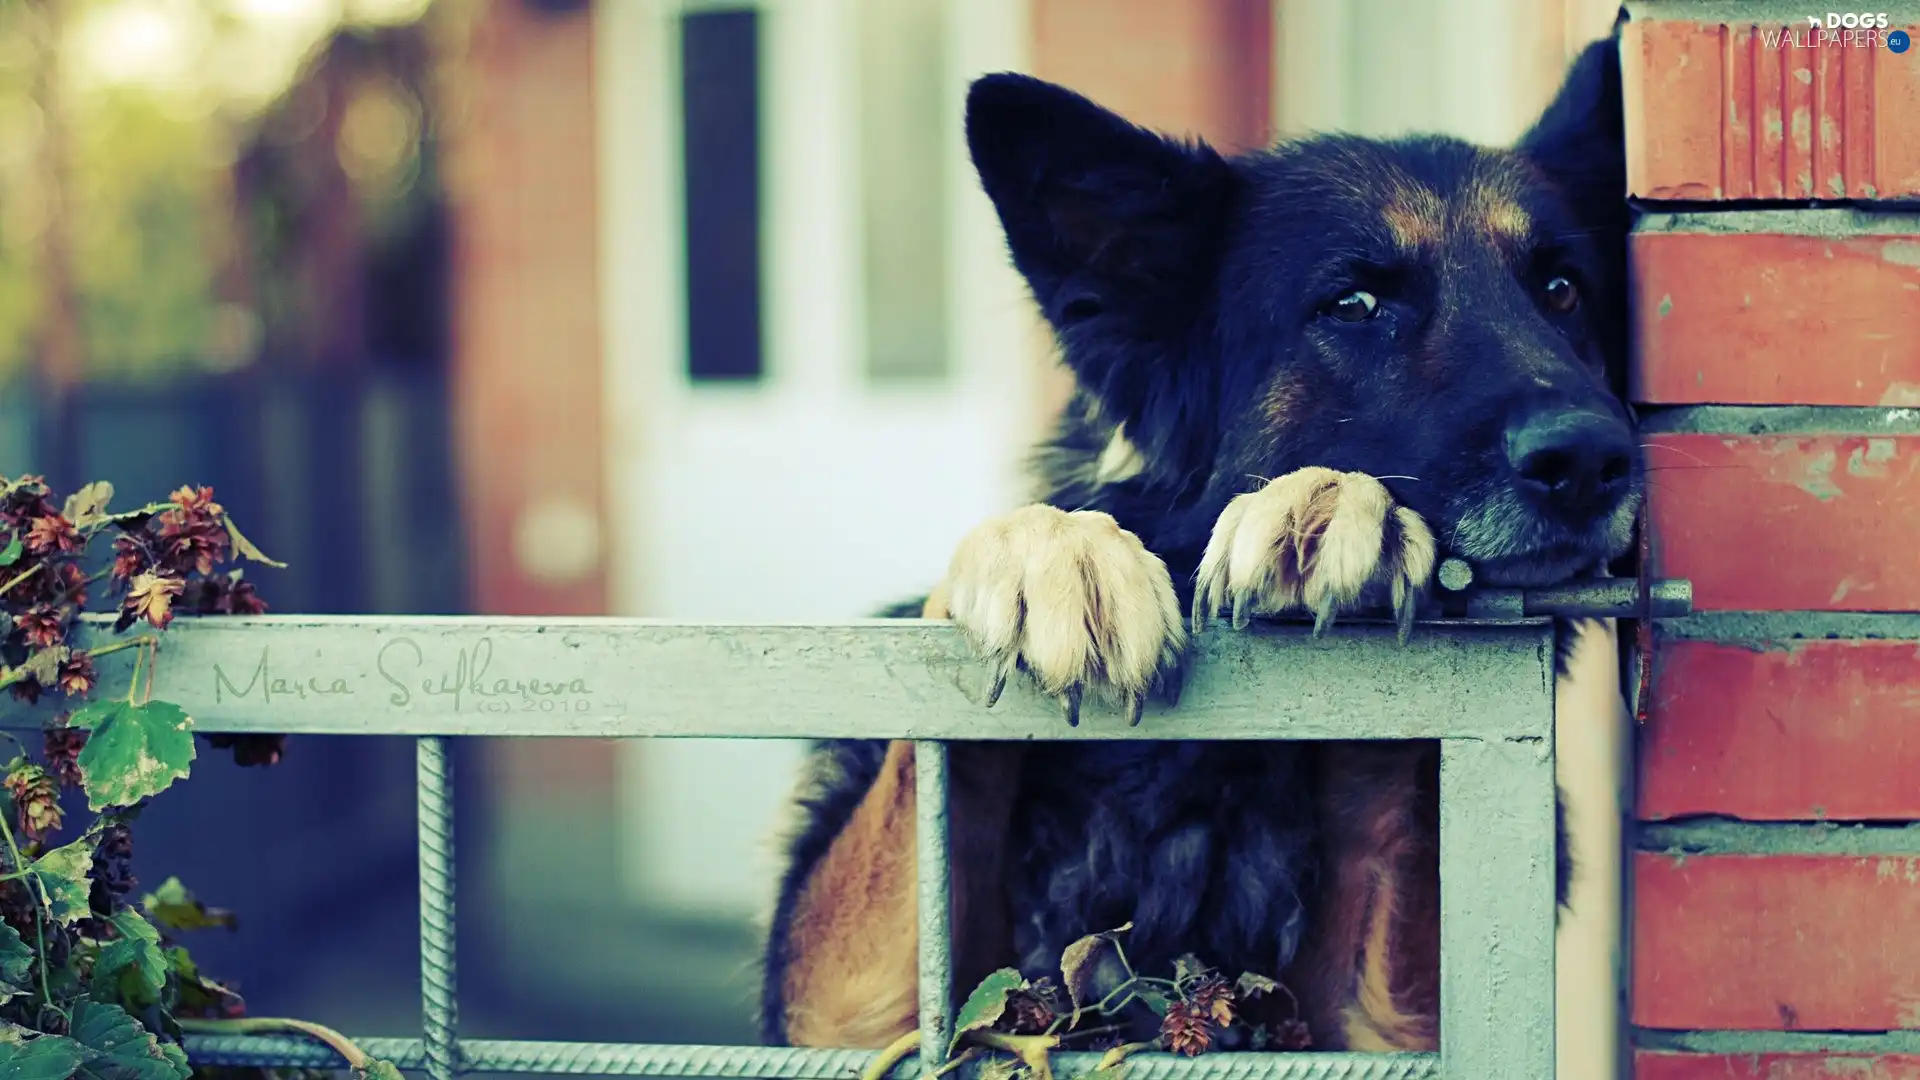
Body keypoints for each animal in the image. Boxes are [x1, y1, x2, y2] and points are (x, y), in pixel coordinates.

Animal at [756, 23, 1643, 1053]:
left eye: (1562, 289)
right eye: (1354, 305)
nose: (1591, 458)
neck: (1205, 773)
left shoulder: (1390, 1020)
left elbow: (1387, 792)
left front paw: (1341, 514)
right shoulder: (855, 1009)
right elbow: (937, 777)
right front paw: (1052, 555)